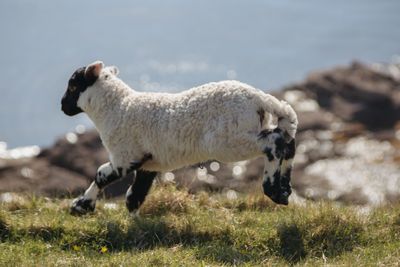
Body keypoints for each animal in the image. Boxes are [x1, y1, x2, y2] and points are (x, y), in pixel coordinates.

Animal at [60, 60, 296, 216]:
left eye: (73, 85)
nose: (62, 106)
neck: (118, 107)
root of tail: (259, 98)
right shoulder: (149, 163)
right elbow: (134, 195)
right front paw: (135, 224)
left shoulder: (124, 155)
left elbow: (101, 174)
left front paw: (80, 206)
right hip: (245, 132)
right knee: (287, 139)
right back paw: (284, 190)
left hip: (231, 140)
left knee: (274, 142)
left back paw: (272, 189)